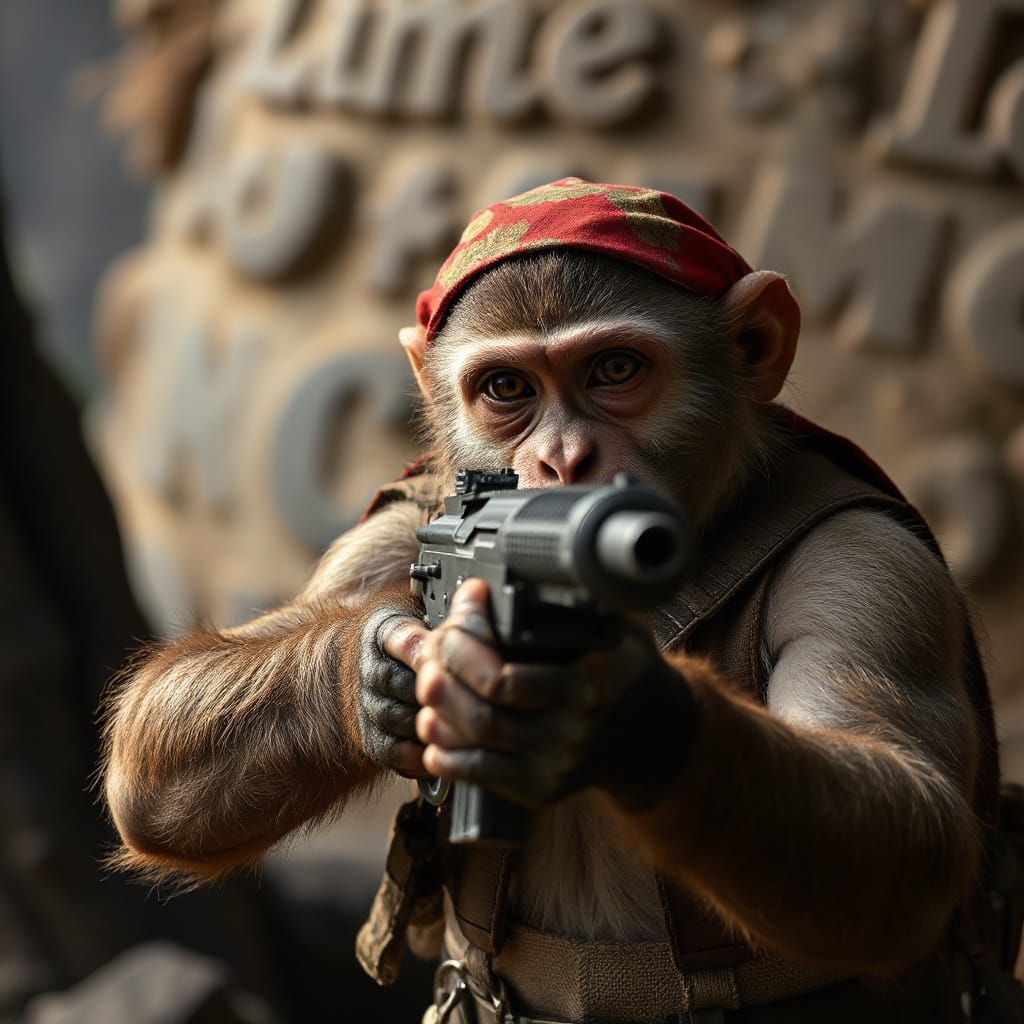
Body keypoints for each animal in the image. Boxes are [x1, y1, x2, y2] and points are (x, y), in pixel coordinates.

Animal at [102, 180, 994, 1022]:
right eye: (507, 387)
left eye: (617, 370)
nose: (564, 461)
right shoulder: (389, 528)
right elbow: (153, 746)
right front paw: (373, 677)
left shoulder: (871, 570)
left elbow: (909, 823)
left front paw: (625, 716)